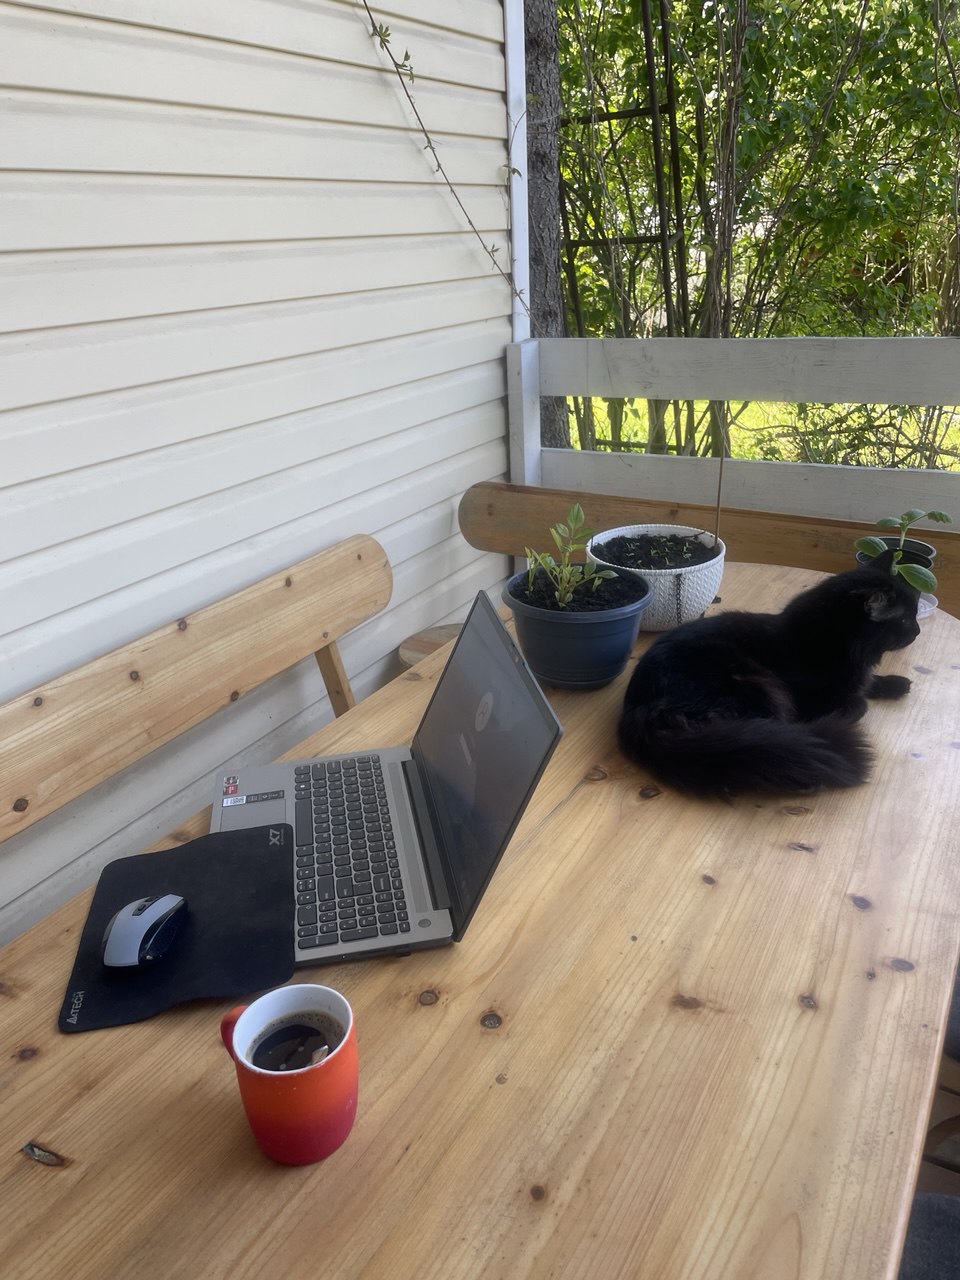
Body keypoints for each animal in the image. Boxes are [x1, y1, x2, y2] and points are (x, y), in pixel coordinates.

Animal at [617, 550, 921, 797]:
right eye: (906, 620)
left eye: (914, 615)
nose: (917, 632)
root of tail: (638, 707)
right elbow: (859, 703)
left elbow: (867, 683)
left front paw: (894, 683)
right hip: (756, 687)